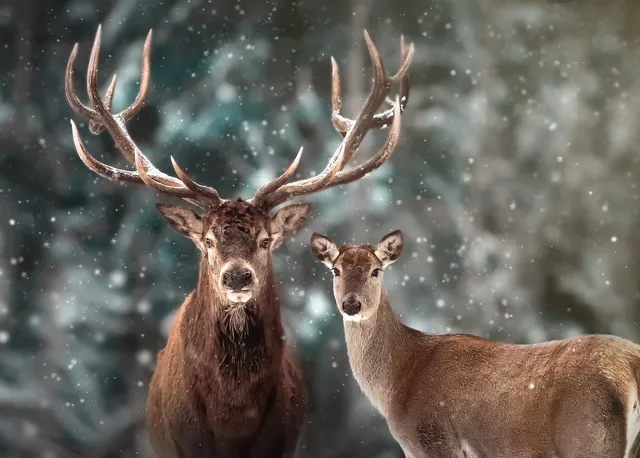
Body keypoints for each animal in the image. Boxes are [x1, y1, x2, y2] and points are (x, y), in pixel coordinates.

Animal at [311, 230, 640, 458]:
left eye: (375, 270)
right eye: (336, 270)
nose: (351, 305)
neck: (398, 382)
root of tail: (630, 367)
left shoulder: (433, 441)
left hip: (588, 436)